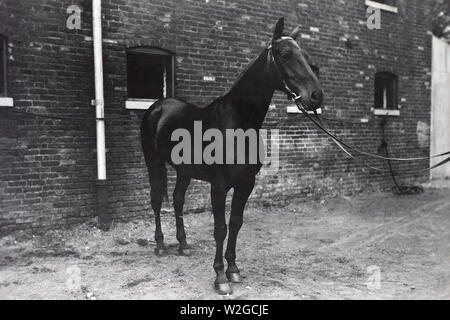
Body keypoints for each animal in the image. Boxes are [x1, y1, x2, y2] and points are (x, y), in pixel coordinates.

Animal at [142, 18, 324, 296]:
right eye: (285, 54)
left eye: (305, 56)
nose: (316, 96)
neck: (237, 122)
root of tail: (158, 106)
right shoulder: (219, 186)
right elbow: (220, 228)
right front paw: (220, 277)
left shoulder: (246, 183)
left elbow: (236, 223)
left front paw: (234, 270)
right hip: (153, 163)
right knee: (155, 200)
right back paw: (161, 245)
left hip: (184, 171)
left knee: (177, 200)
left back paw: (183, 245)